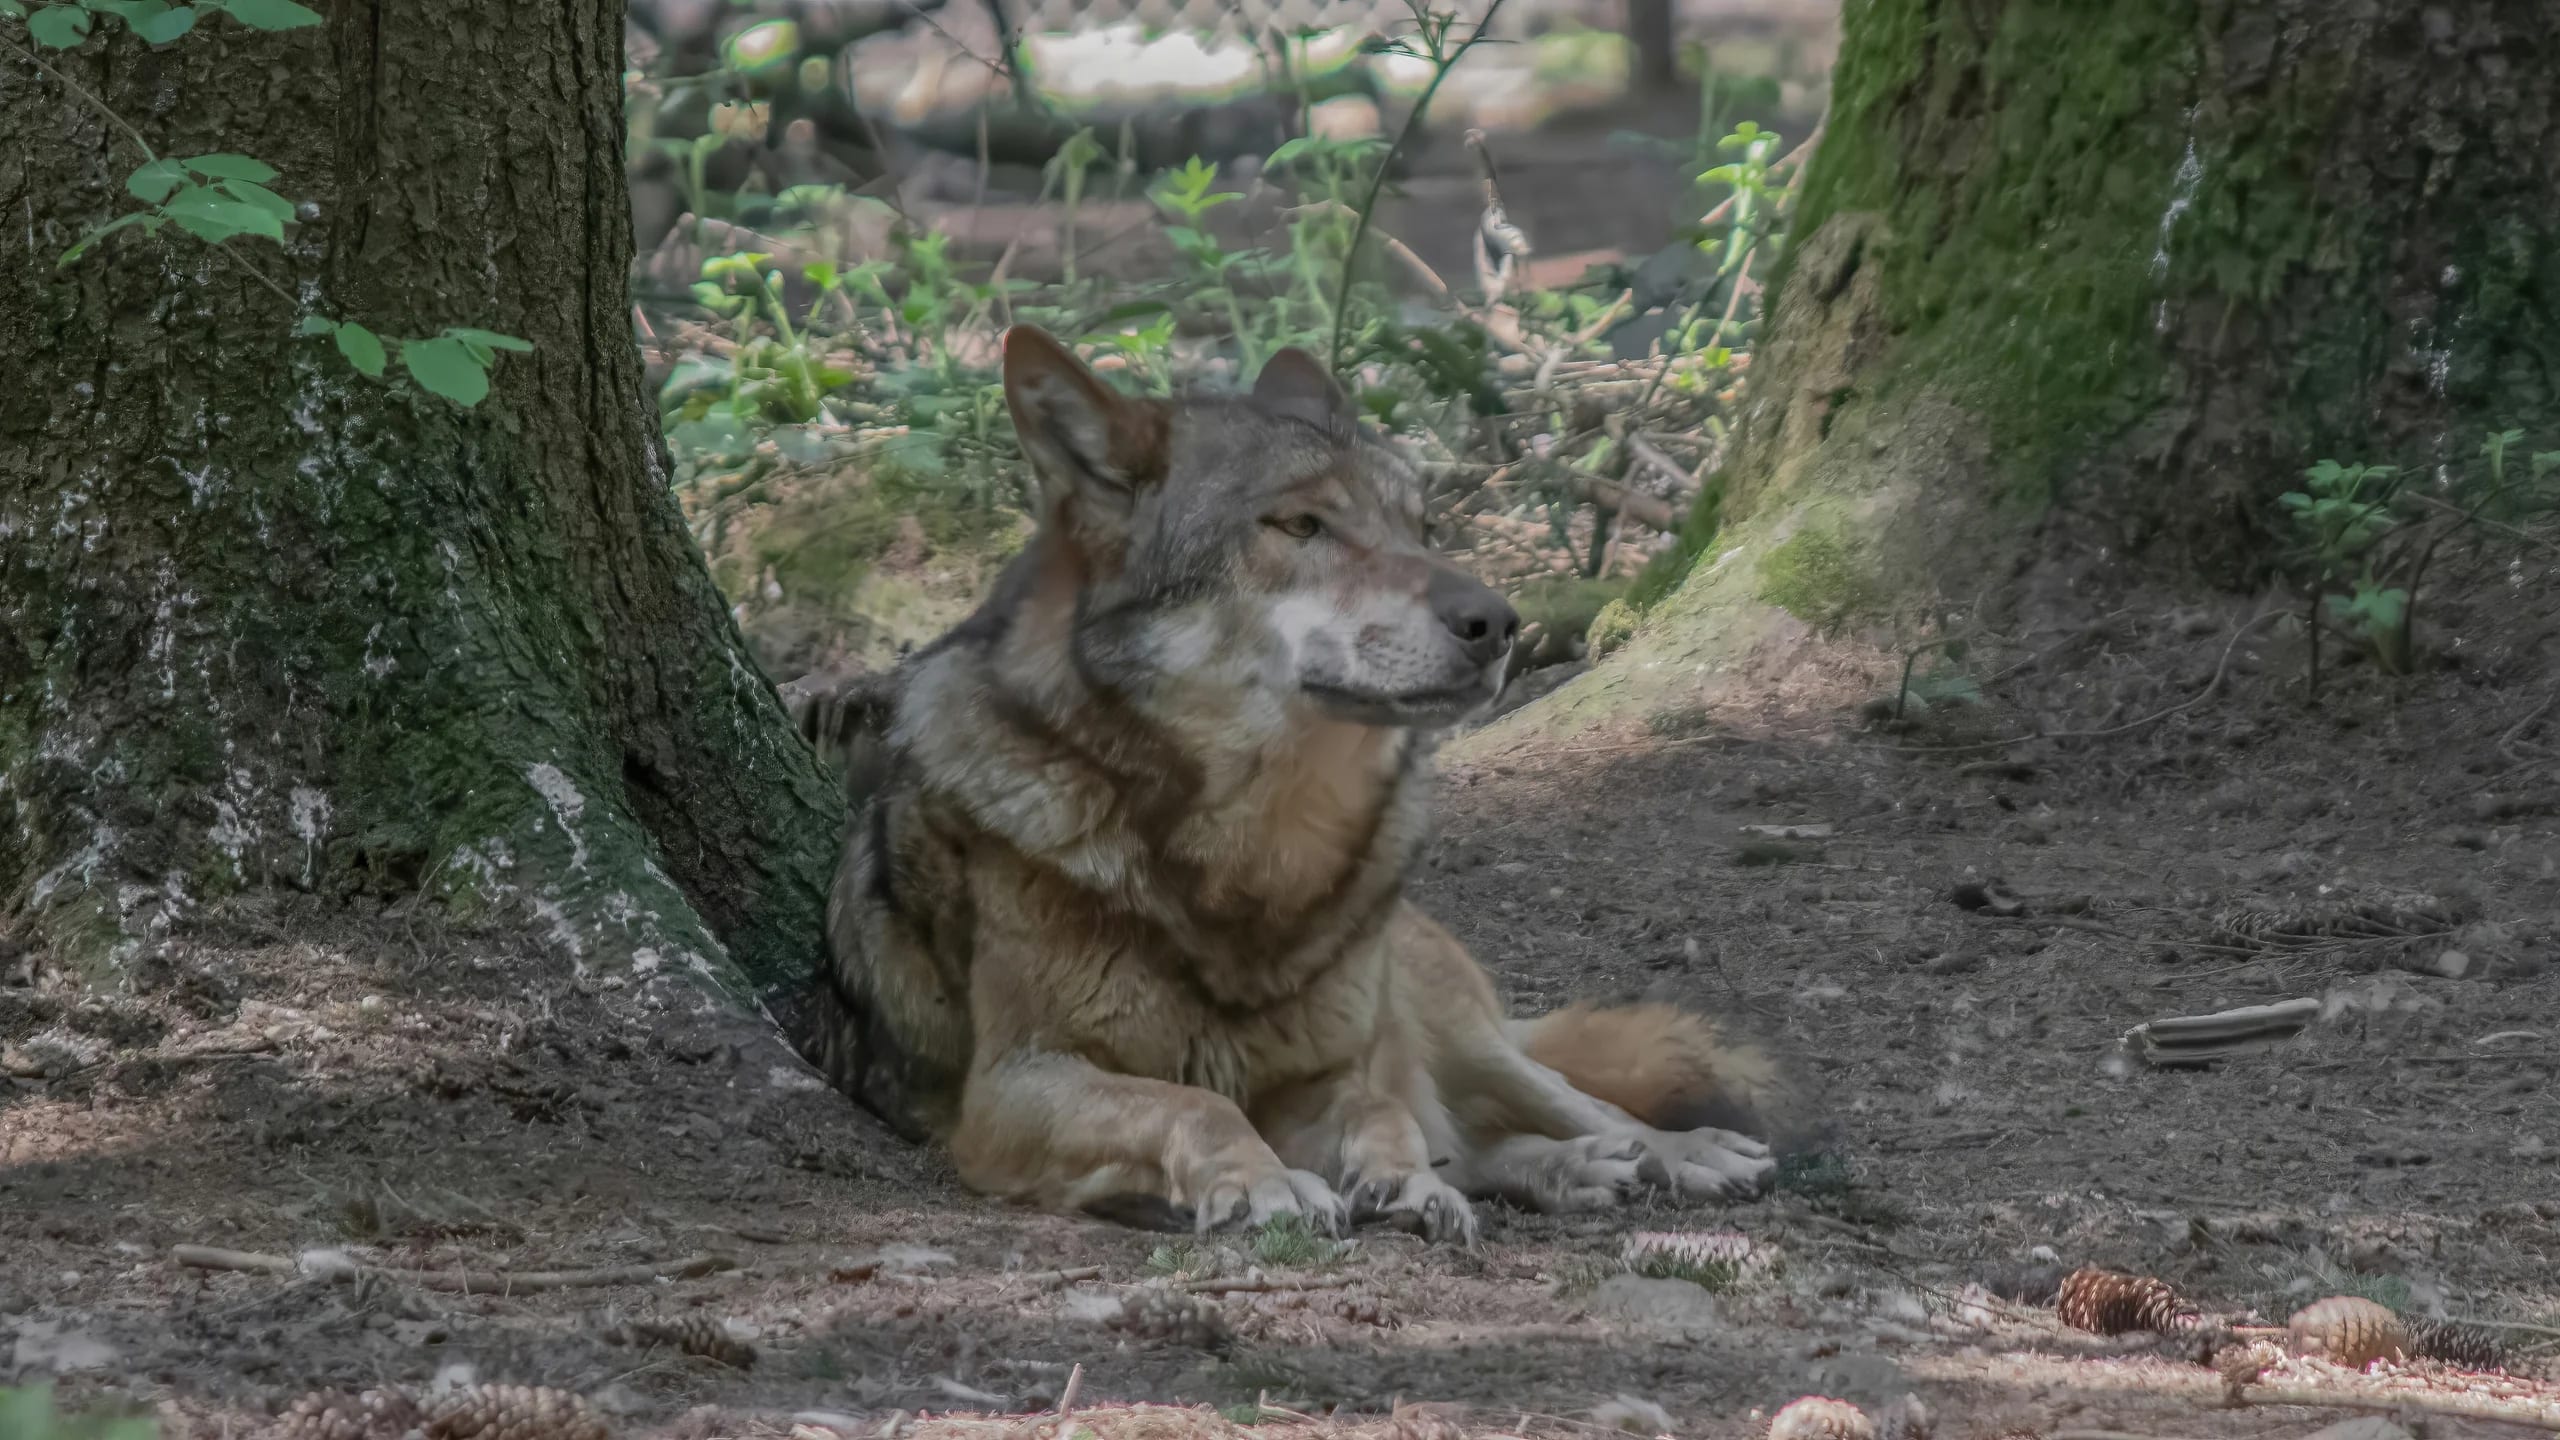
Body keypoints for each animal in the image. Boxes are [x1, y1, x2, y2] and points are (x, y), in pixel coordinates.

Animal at [780, 326, 1782, 1242]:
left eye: (1420, 529)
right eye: (1302, 526)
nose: (1498, 623)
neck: (1251, 856)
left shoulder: (1326, 1077)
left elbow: (1381, 1113)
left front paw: (1399, 1183)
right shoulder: (1012, 1088)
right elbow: (1195, 1103)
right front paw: (1262, 1185)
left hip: (1466, 1034)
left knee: (1565, 1102)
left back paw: (1671, 1154)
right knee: (1490, 1142)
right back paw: (1579, 1170)